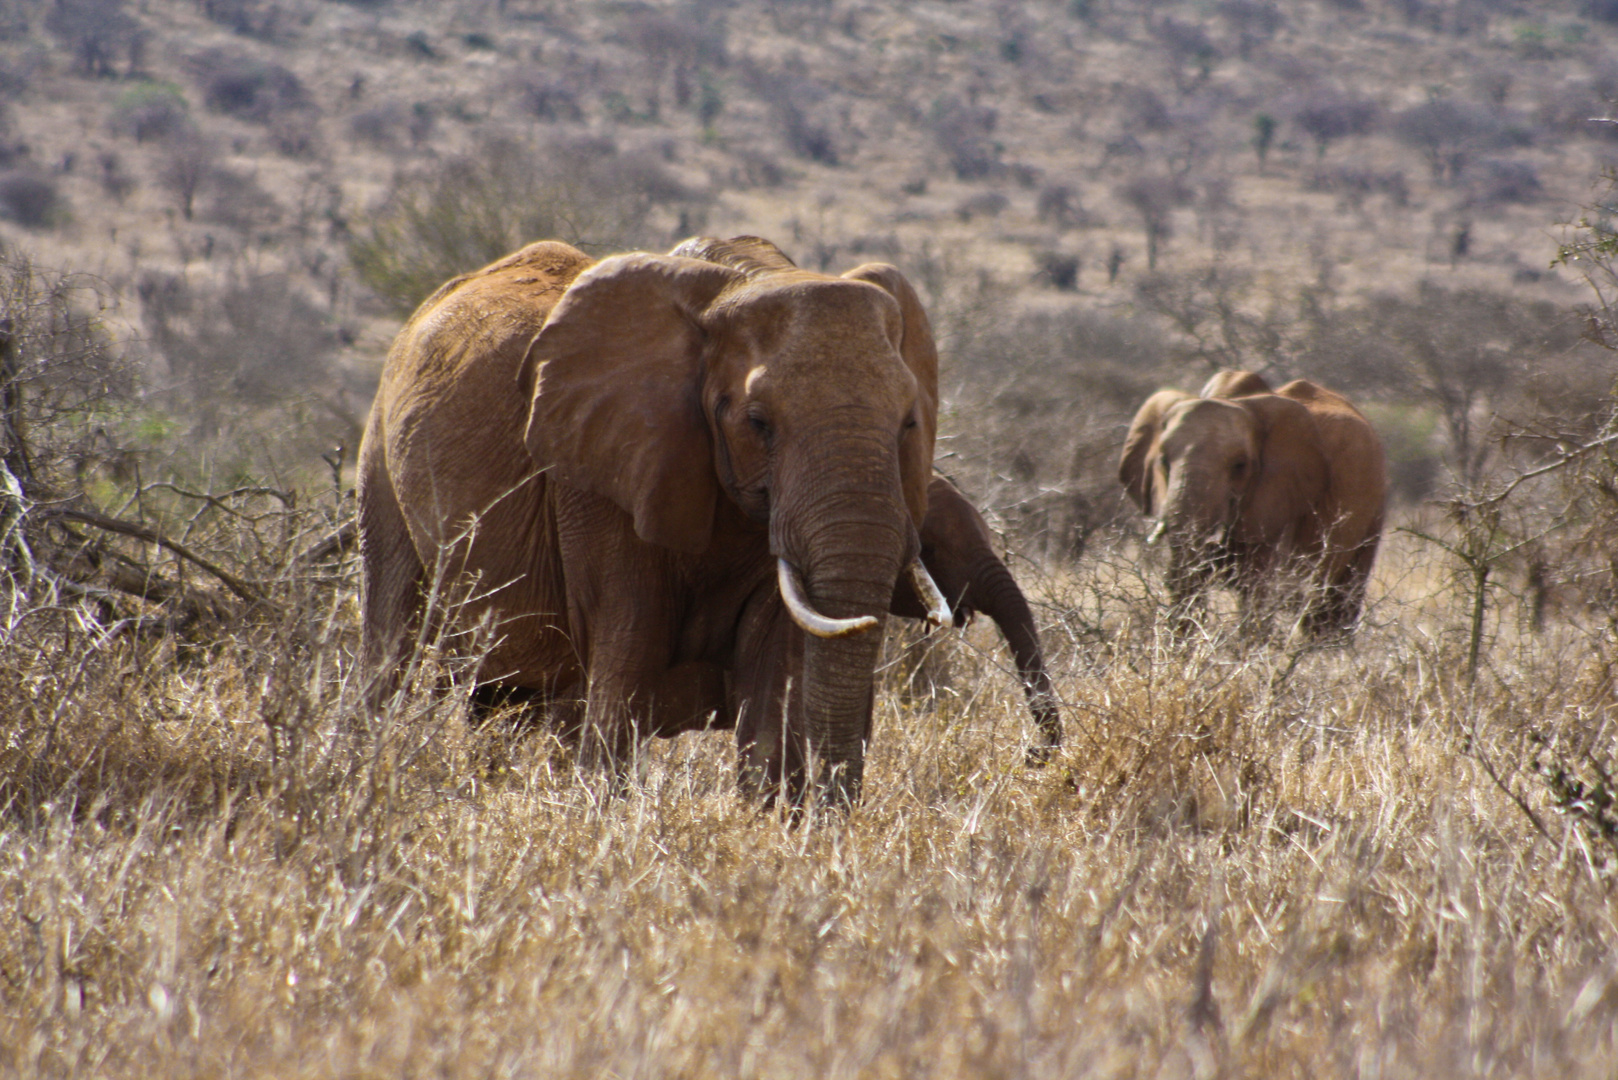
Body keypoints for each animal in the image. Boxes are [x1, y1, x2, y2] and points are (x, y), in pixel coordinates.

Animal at [359, 238, 951, 809]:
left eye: (909, 423)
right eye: (758, 422)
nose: (838, 811)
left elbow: (772, 666)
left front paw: (769, 821)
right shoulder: (598, 480)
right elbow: (630, 641)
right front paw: (603, 814)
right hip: (381, 454)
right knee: (393, 632)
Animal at [1113, 374, 1391, 641]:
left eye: (1240, 465)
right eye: (1163, 461)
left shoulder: (1279, 499)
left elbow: (1257, 591)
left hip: (1374, 510)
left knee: (1338, 602)